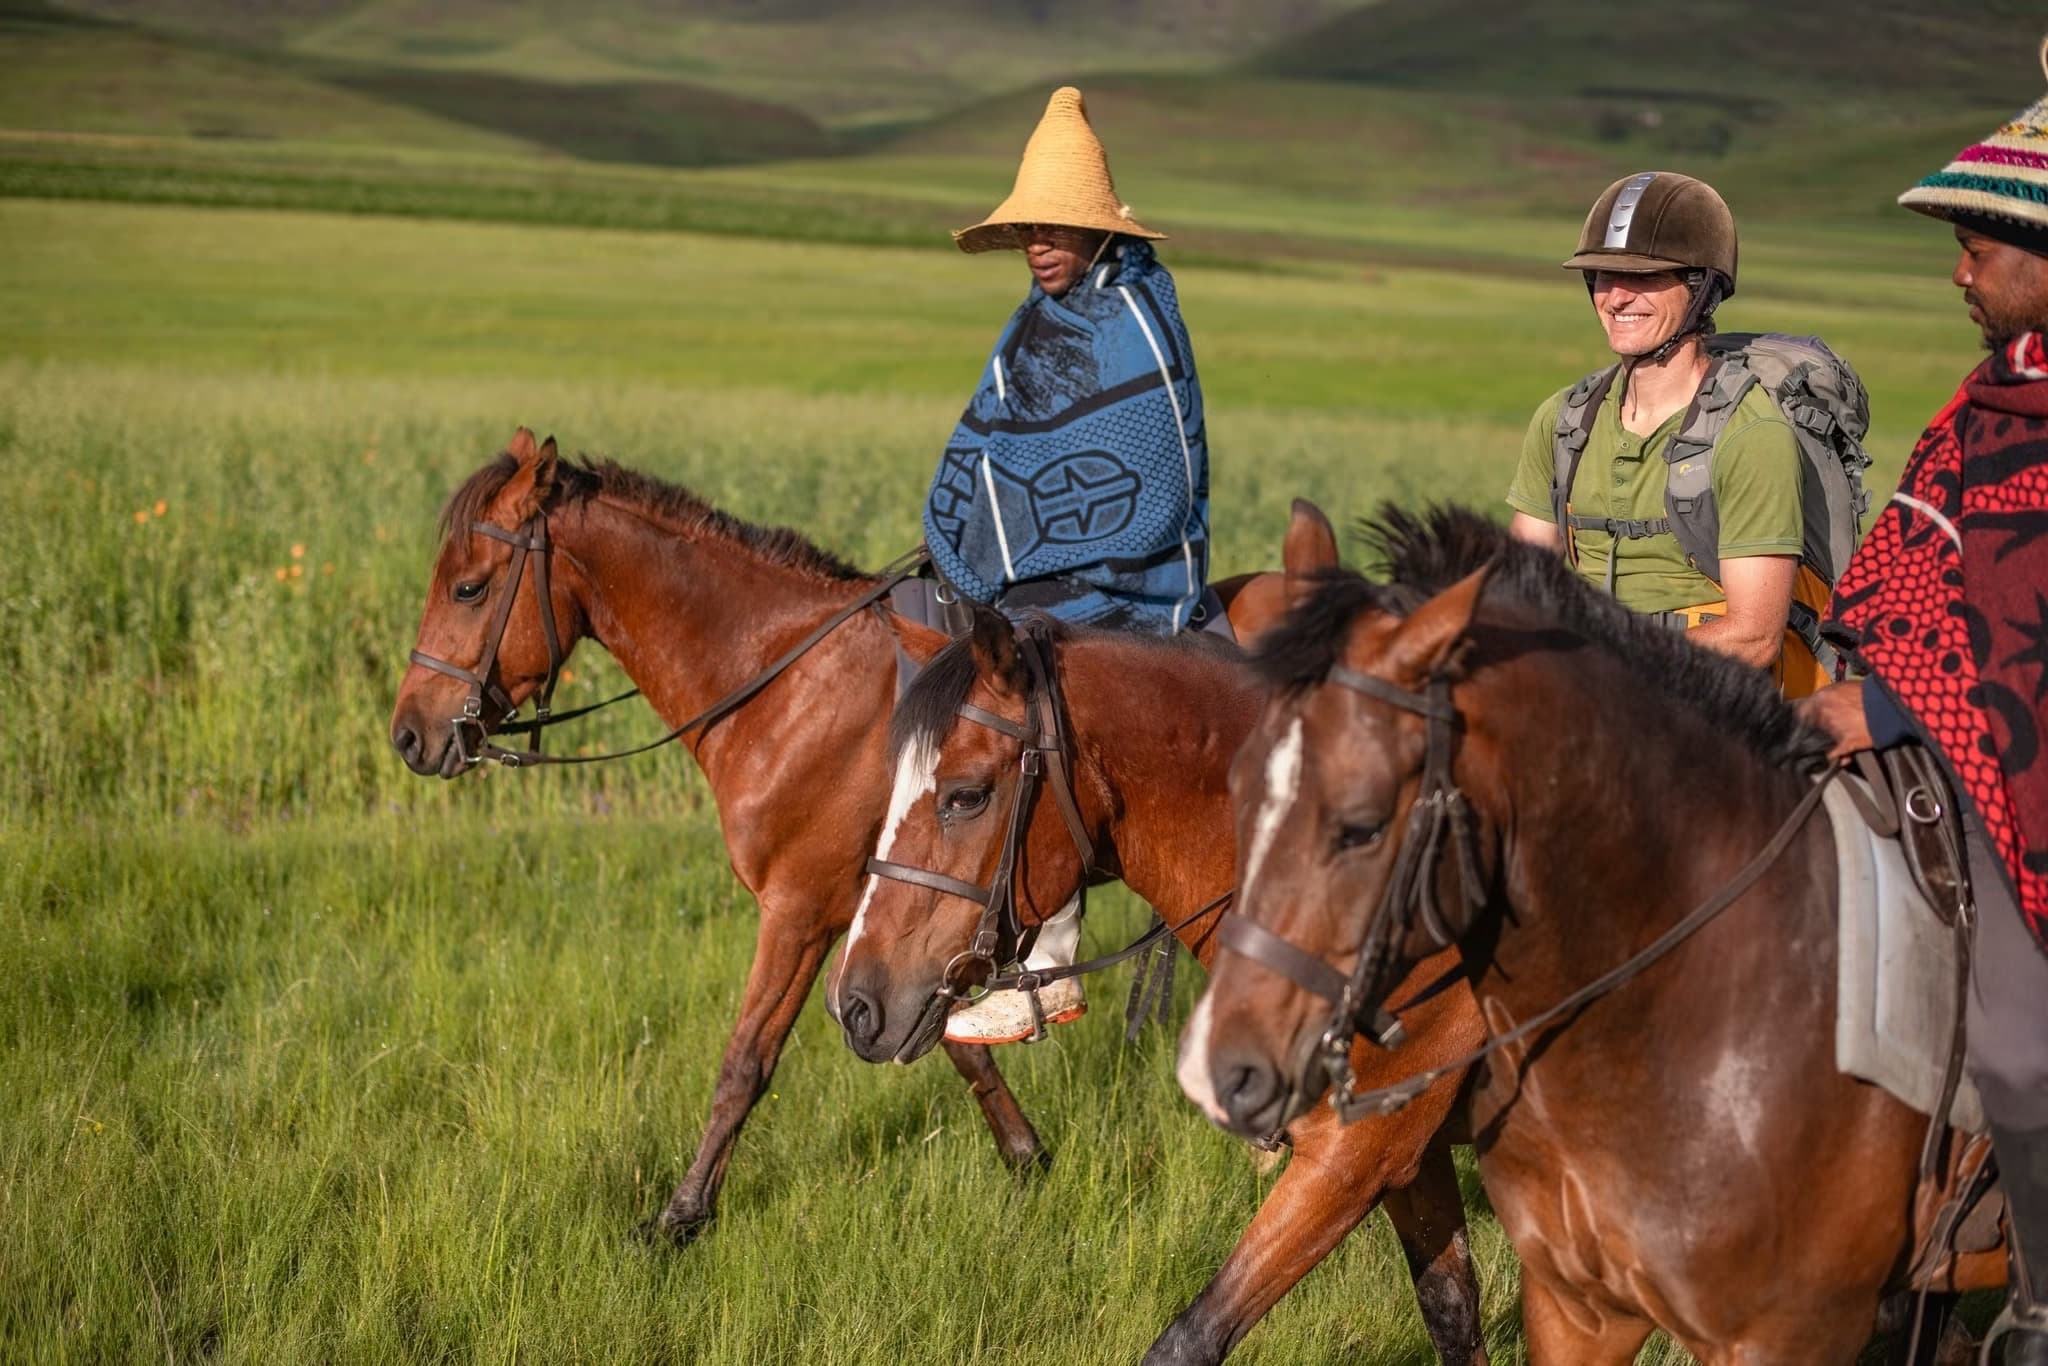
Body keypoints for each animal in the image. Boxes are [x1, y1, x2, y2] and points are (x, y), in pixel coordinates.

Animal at [388, 428, 1284, 1243]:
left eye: (468, 588)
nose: (410, 735)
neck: (788, 684)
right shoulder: (895, 930)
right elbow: (948, 1042)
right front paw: (1029, 1158)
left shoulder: (799, 913)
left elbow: (745, 1063)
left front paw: (681, 1216)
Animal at [825, 503, 1493, 1365]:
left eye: (966, 795)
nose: (856, 1003)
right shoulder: (1411, 1149)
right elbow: (1452, 1312)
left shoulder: (1359, 1151)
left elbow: (1190, 1337)